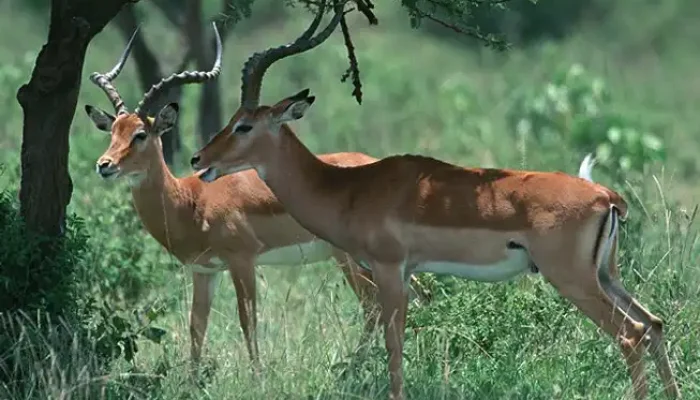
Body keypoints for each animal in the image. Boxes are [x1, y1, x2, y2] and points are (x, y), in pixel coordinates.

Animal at [83, 22, 422, 368]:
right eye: (113, 132)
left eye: (140, 134)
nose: (104, 165)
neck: (190, 200)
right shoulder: (205, 271)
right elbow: (197, 328)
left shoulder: (242, 260)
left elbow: (248, 322)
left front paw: (258, 373)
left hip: (351, 259)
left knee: (374, 306)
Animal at [189, 25, 681, 400]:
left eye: (243, 125)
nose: (198, 160)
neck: (349, 189)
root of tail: (605, 195)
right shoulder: (406, 274)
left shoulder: (389, 270)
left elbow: (393, 347)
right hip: (605, 276)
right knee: (653, 324)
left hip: (573, 279)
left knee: (629, 334)